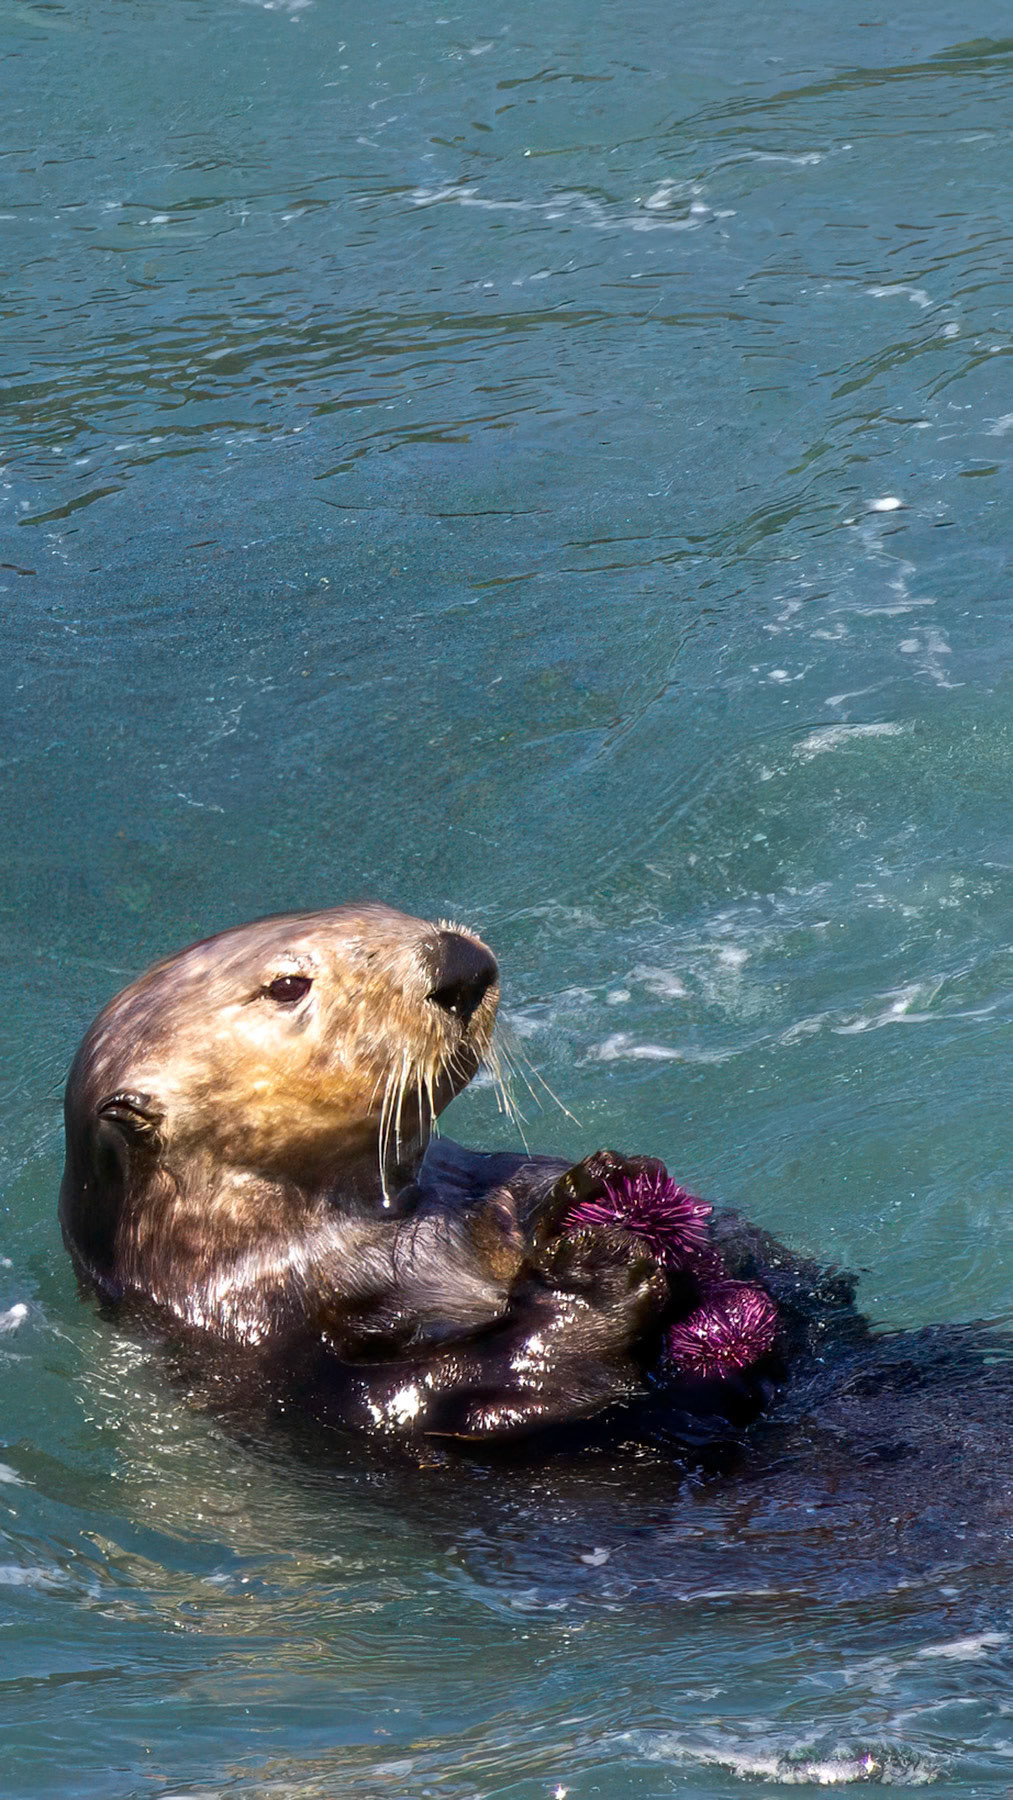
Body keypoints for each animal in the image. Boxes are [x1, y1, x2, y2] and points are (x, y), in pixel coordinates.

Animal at [60, 903, 857, 1448]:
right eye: (287, 985)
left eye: (382, 907)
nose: (459, 961)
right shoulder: (264, 1355)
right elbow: (424, 1399)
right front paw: (595, 1276)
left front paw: (594, 1184)